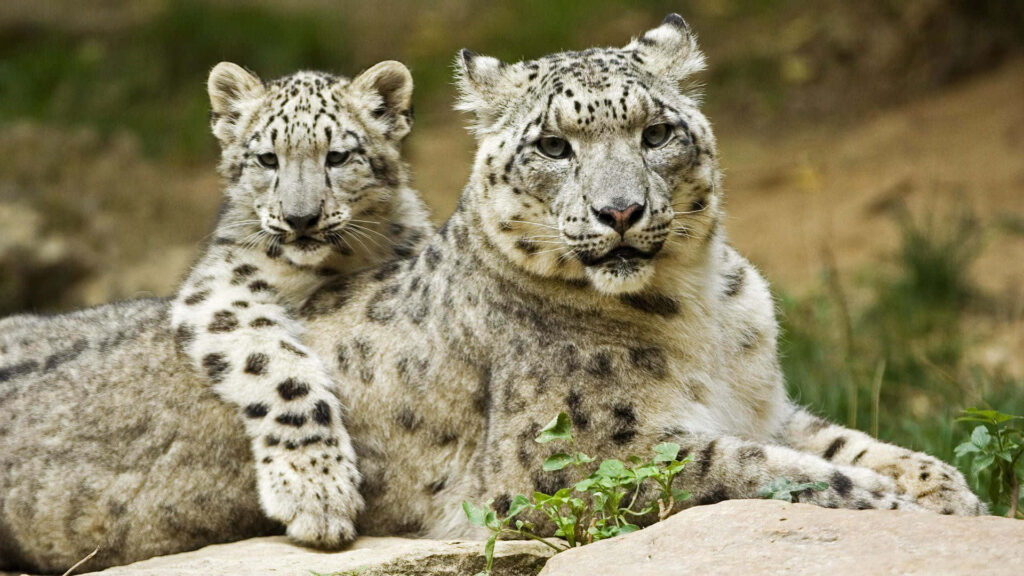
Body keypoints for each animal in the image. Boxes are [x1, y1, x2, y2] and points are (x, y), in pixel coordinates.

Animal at [0, 14, 982, 574]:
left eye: (657, 131)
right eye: (553, 145)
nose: (621, 210)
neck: (701, 307)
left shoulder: (766, 404)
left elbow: (847, 443)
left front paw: (951, 494)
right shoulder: (578, 464)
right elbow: (751, 470)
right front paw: (887, 507)